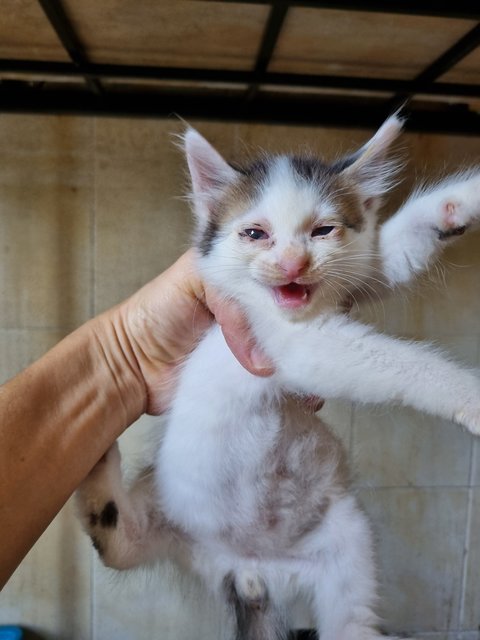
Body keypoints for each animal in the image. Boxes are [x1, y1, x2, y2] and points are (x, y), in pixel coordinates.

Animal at [76, 116, 480, 640]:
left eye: (323, 230)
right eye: (255, 233)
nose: (293, 264)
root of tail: (252, 571)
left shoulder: (355, 277)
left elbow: (391, 251)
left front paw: (461, 203)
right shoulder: (289, 343)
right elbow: (402, 362)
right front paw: (470, 395)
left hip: (348, 544)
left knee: (351, 623)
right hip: (169, 510)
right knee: (119, 545)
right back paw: (96, 467)